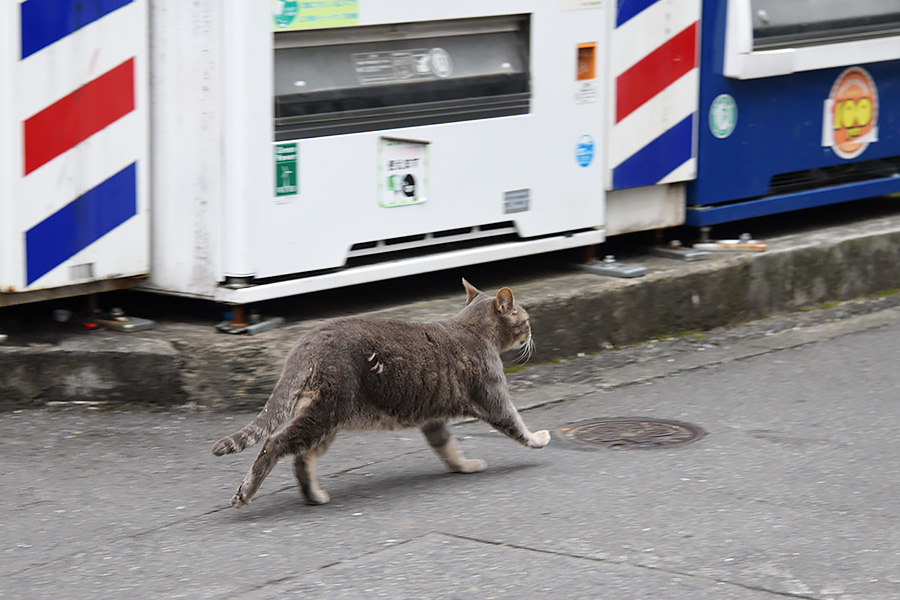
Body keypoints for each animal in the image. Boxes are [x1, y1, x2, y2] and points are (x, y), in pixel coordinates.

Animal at [213, 278, 548, 508]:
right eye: (527, 320)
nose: (533, 332)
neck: (472, 328)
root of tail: (307, 340)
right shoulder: (494, 399)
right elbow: (518, 425)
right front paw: (540, 438)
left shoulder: (433, 419)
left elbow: (447, 448)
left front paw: (464, 466)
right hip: (324, 415)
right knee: (275, 442)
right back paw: (246, 493)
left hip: (325, 420)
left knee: (302, 460)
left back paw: (314, 496)